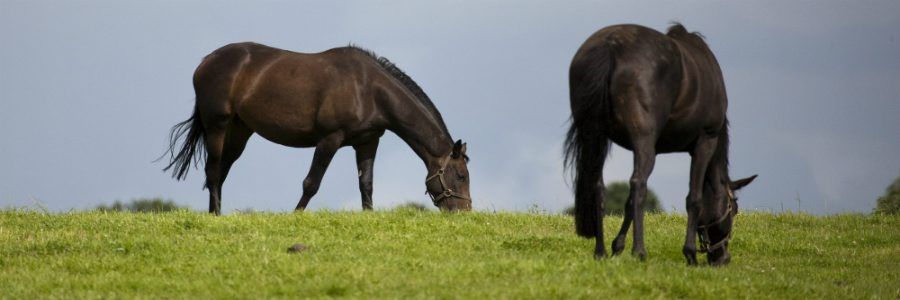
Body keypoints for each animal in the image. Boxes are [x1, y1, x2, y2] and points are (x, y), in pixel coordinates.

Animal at [163, 42, 472, 216]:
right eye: (460, 175)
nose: (465, 212)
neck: (369, 89)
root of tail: (206, 62)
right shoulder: (329, 140)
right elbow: (311, 183)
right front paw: (296, 214)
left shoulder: (367, 142)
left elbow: (366, 184)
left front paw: (368, 216)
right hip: (217, 125)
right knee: (213, 171)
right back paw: (215, 216)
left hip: (240, 131)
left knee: (222, 171)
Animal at [568, 24, 756, 268]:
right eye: (733, 209)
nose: (723, 258)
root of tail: (609, 46)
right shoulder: (705, 142)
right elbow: (694, 198)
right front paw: (690, 254)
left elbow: (628, 203)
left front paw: (617, 247)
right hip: (643, 140)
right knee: (639, 184)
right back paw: (640, 251)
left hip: (595, 136)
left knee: (598, 186)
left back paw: (600, 251)